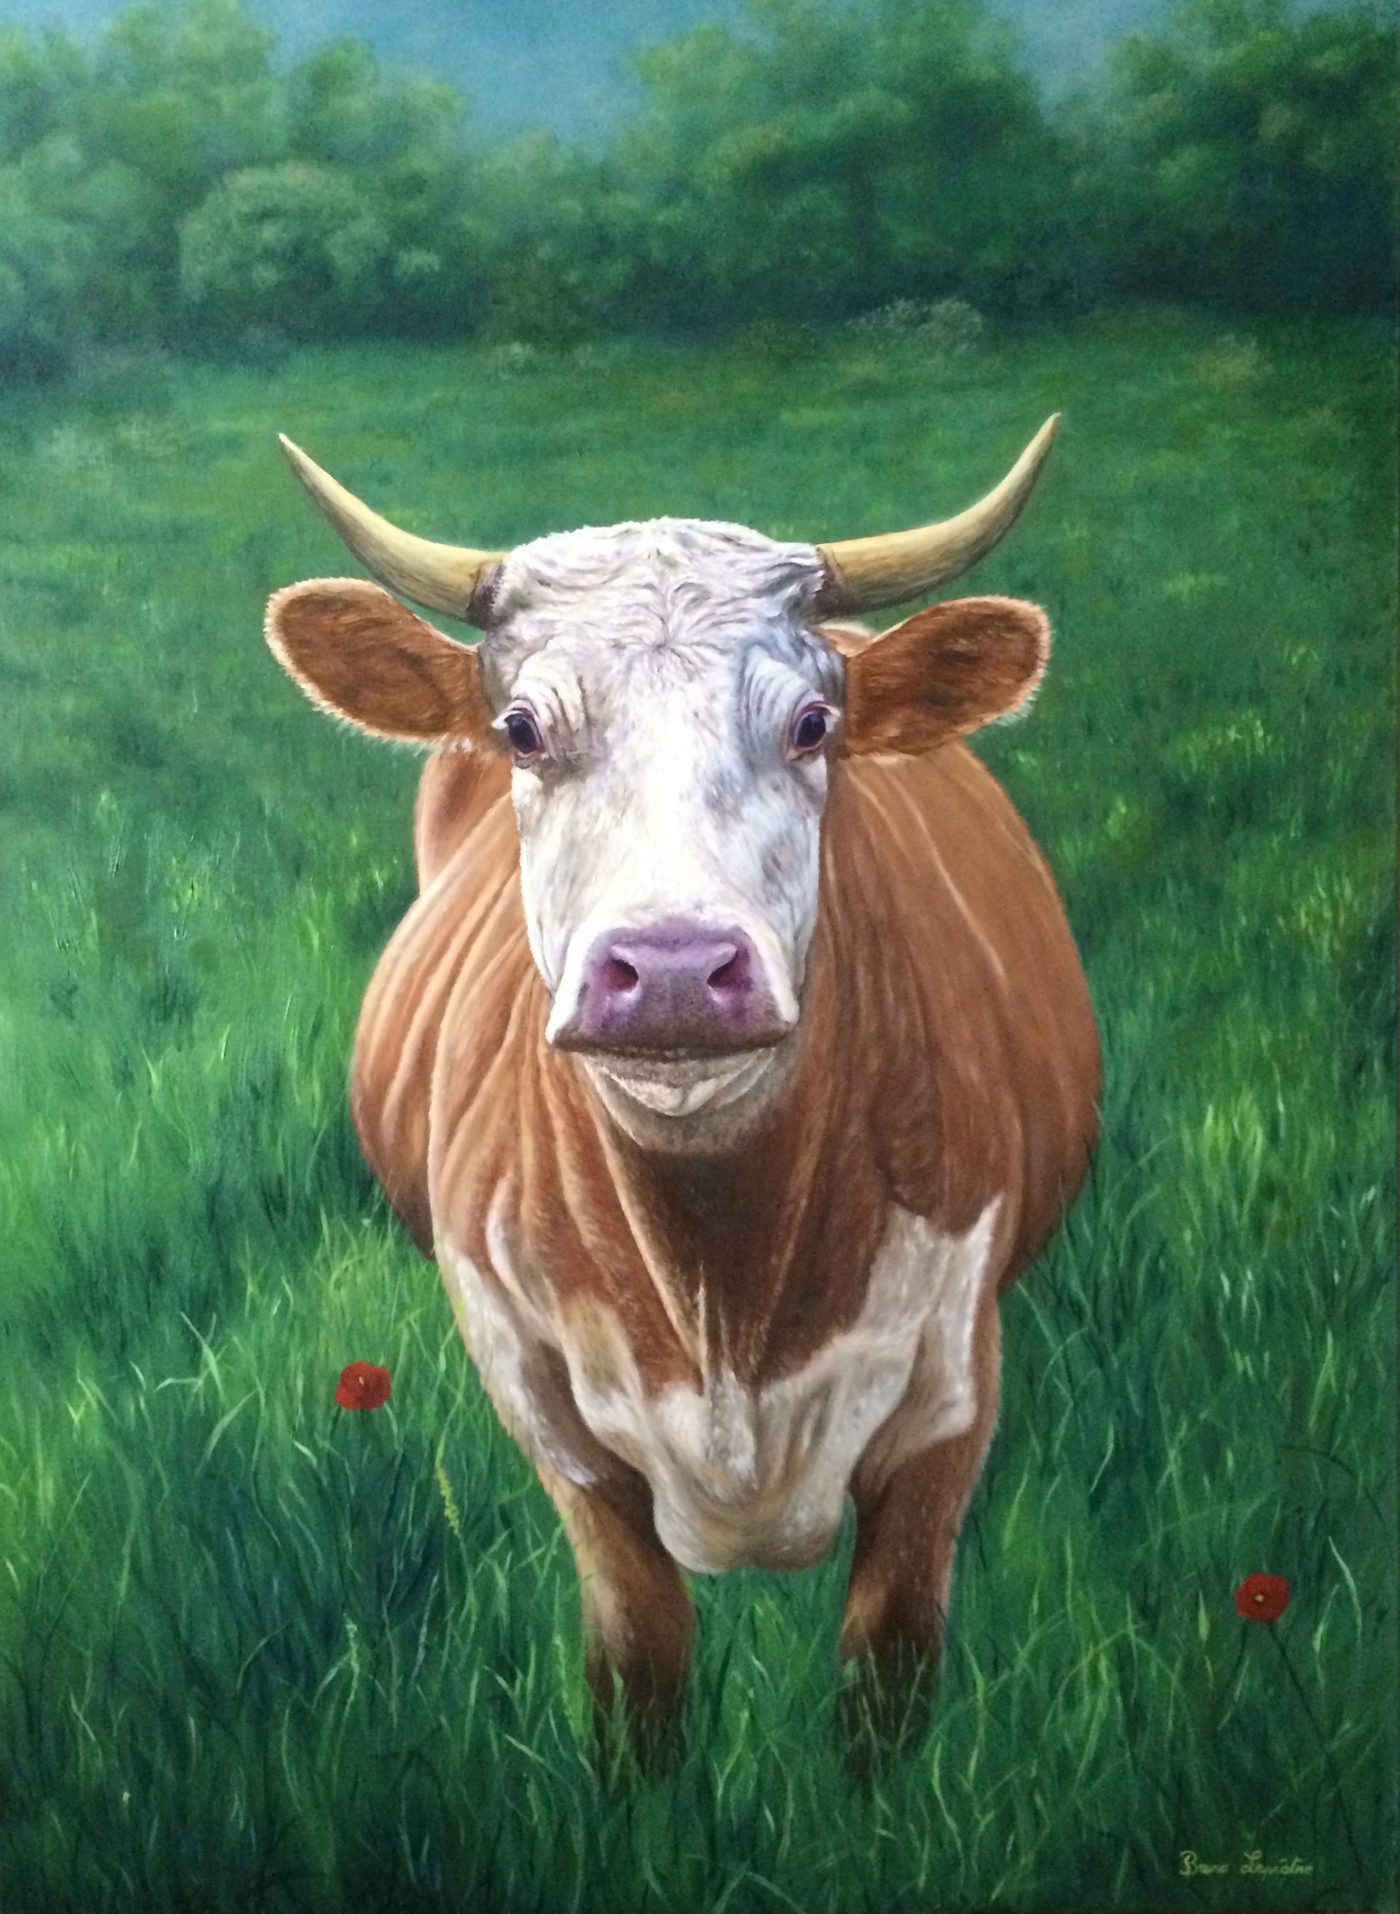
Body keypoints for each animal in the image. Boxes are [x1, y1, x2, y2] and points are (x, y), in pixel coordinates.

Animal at [264, 419, 1100, 1754]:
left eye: (811, 725)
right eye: (522, 728)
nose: (667, 971)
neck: (719, 1277)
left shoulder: (949, 1395)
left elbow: (887, 1669)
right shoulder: (542, 1405)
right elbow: (637, 1658)